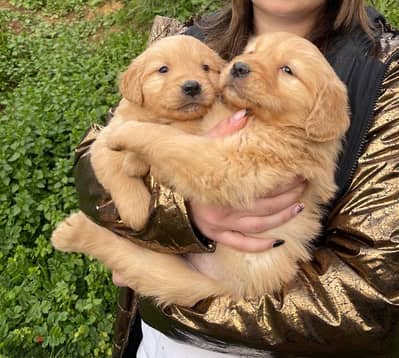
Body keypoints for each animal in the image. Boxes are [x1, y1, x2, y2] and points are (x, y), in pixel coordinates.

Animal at [52, 33, 350, 306]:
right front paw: (131, 157)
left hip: (188, 281)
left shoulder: (225, 162)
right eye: (251, 52)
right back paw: (70, 232)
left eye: (287, 70)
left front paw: (126, 136)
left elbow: (164, 137)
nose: (239, 67)